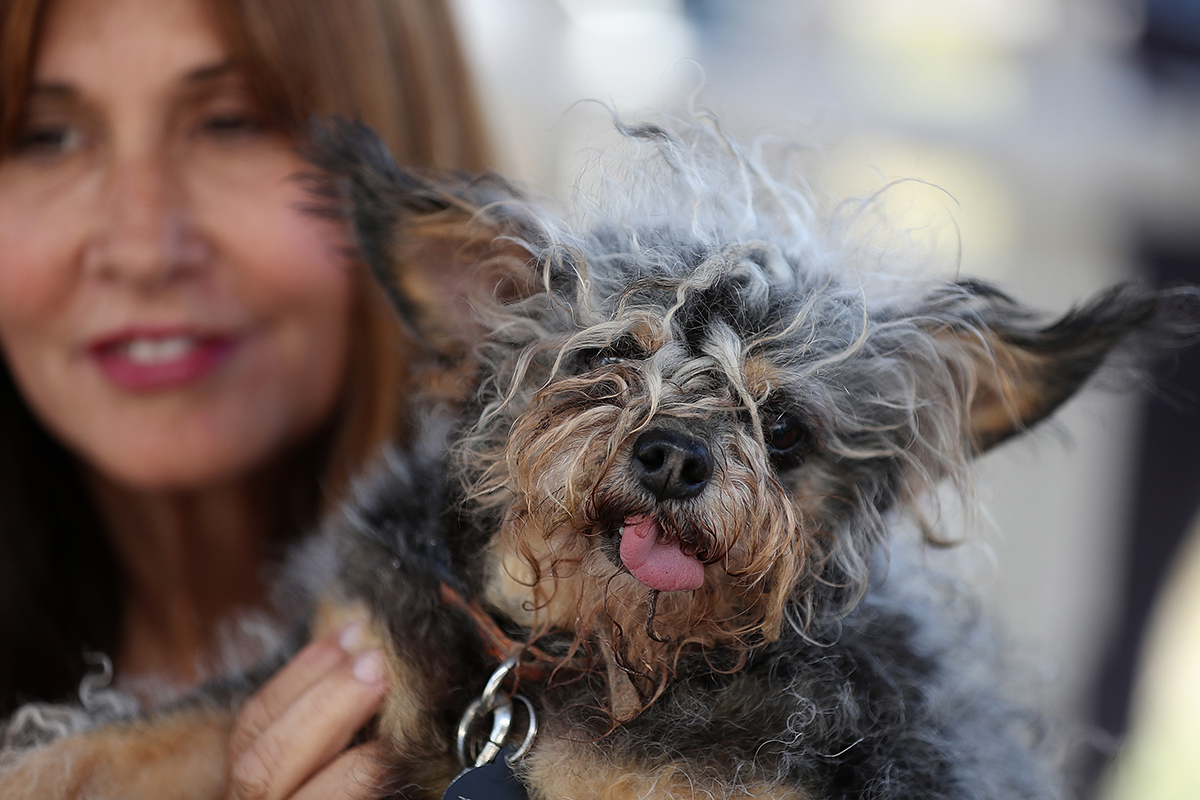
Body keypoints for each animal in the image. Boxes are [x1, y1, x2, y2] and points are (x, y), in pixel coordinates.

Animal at [0, 113, 1190, 800]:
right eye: (611, 356)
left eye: (785, 430)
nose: (673, 456)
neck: (558, 669)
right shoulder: (330, 655)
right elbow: (108, 739)